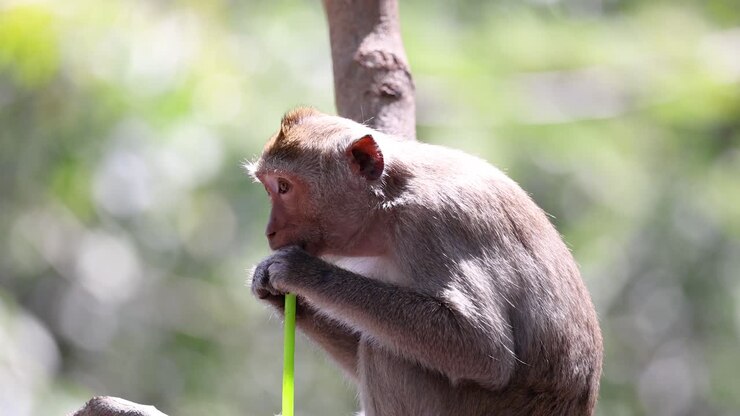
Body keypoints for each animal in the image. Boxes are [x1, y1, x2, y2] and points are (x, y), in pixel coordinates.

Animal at [246, 107, 603, 416]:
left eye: (284, 187)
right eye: (270, 188)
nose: (269, 230)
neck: (390, 198)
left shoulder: (434, 224)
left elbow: (482, 348)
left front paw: (302, 272)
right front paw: (277, 294)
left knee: (383, 352)